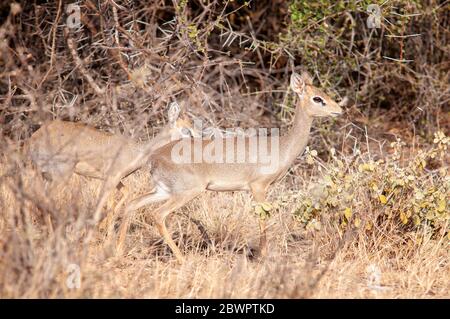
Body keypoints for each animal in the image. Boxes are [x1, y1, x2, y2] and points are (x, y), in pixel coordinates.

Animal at [118, 72, 342, 262]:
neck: (281, 146)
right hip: (186, 192)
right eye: (317, 98)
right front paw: (262, 256)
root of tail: (153, 158)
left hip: (163, 191)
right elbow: (264, 219)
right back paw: (183, 260)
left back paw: (118, 252)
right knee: (158, 215)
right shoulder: (258, 187)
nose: (338, 110)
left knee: (132, 205)